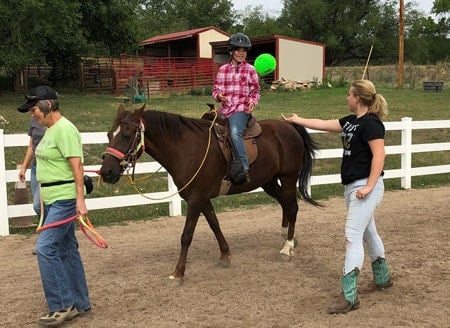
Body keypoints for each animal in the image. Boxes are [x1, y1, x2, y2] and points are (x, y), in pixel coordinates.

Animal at [100, 104, 322, 284]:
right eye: (109, 135)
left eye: (127, 135)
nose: (107, 172)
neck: (186, 149)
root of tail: (289, 127)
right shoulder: (202, 198)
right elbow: (215, 224)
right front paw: (225, 255)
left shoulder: (196, 200)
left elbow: (186, 235)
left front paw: (178, 273)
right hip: (269, 182)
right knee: (285, 205)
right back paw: (287, 237)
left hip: (288, 179)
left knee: (293, 207)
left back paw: (287, 247)